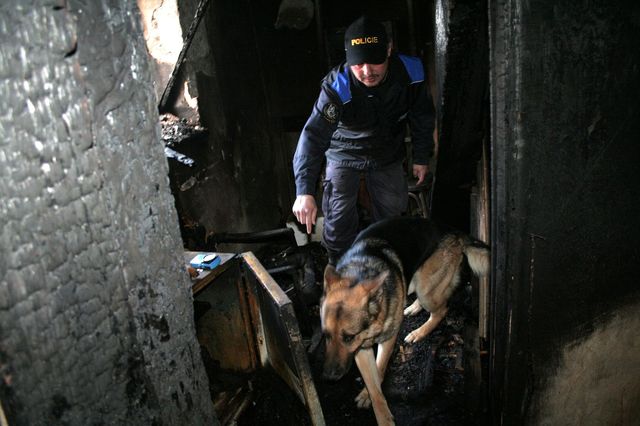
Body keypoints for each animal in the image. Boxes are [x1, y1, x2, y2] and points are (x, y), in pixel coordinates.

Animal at [320, 216, 490, 425]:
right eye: (326, 335)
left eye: (348, 337)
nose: (328, 377)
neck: (360, 272)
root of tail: (455, 232)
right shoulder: (361, 349)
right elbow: (373, 386)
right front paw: (370, 399)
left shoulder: (385, 340)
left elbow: (380, 368)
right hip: (419, 283)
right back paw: (413, 307)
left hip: (427, 289)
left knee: (441, 310)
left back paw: (420, 332)